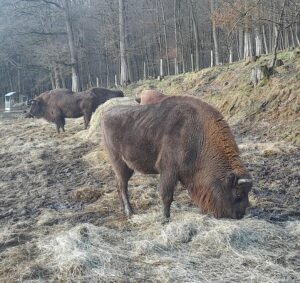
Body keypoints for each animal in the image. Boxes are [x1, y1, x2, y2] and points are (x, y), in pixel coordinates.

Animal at [102, 96, 252, 221]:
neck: (198, 134)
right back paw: (129, 211)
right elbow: (167, 196)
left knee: (119, 185)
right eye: (238, 195)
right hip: (120, 164)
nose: (240, 214)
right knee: (122, 186)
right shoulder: (168, 171)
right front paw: (165, 218)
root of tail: (106, 114)